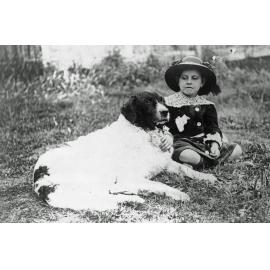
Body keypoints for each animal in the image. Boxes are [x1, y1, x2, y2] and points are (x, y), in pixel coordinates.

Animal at [33, 92, 216, 210]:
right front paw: (179, 194)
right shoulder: (132, 176)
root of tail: (38, 174)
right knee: (105, 190)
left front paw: (206, 177)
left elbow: (184, 168)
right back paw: (132, 198)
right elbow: (160, 184)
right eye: (148, 102)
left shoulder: (163, 162)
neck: (145, 133)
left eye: (162, 100)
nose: (165, 112)